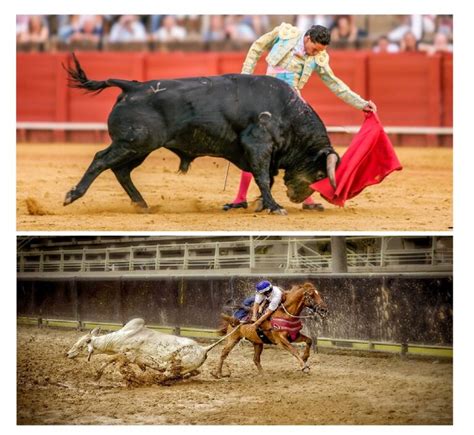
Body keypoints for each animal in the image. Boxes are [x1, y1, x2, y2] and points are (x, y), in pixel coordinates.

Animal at [64, 55, 336, 215]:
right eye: (319, 174)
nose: (296, 198)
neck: (288, 113)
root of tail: (133, 86)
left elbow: (265, 178)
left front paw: (262, 204)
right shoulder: (258, 145)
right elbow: (262, 176)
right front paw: (274, 207)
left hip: (139, 148)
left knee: (121, 170)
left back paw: (142, 204)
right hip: (133, 142)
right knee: (101, 159)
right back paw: (72, 195)